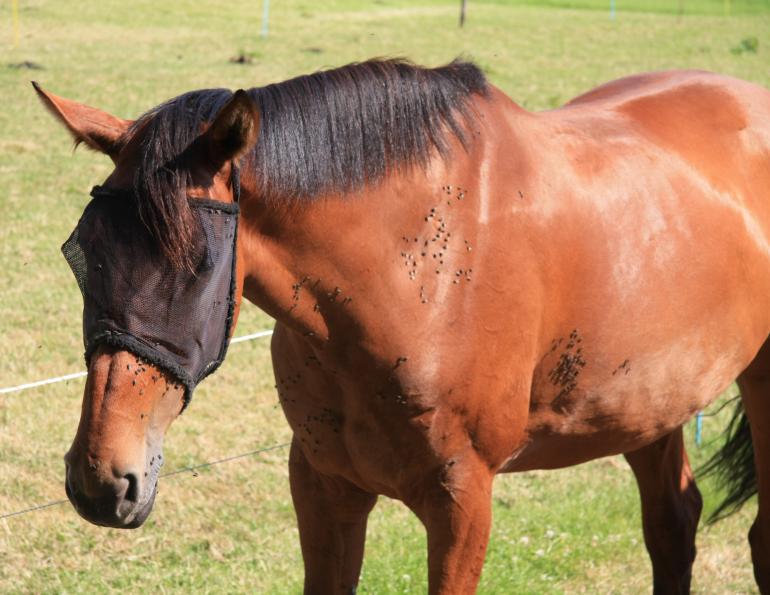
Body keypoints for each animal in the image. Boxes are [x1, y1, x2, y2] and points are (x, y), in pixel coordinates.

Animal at [34, 59, 770, 594]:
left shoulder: (462, 500)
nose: (102, 479)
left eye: (198, 265)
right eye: (81, 251)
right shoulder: (324, 484)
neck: (410, 283)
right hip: (650, 406)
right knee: (673, 526)